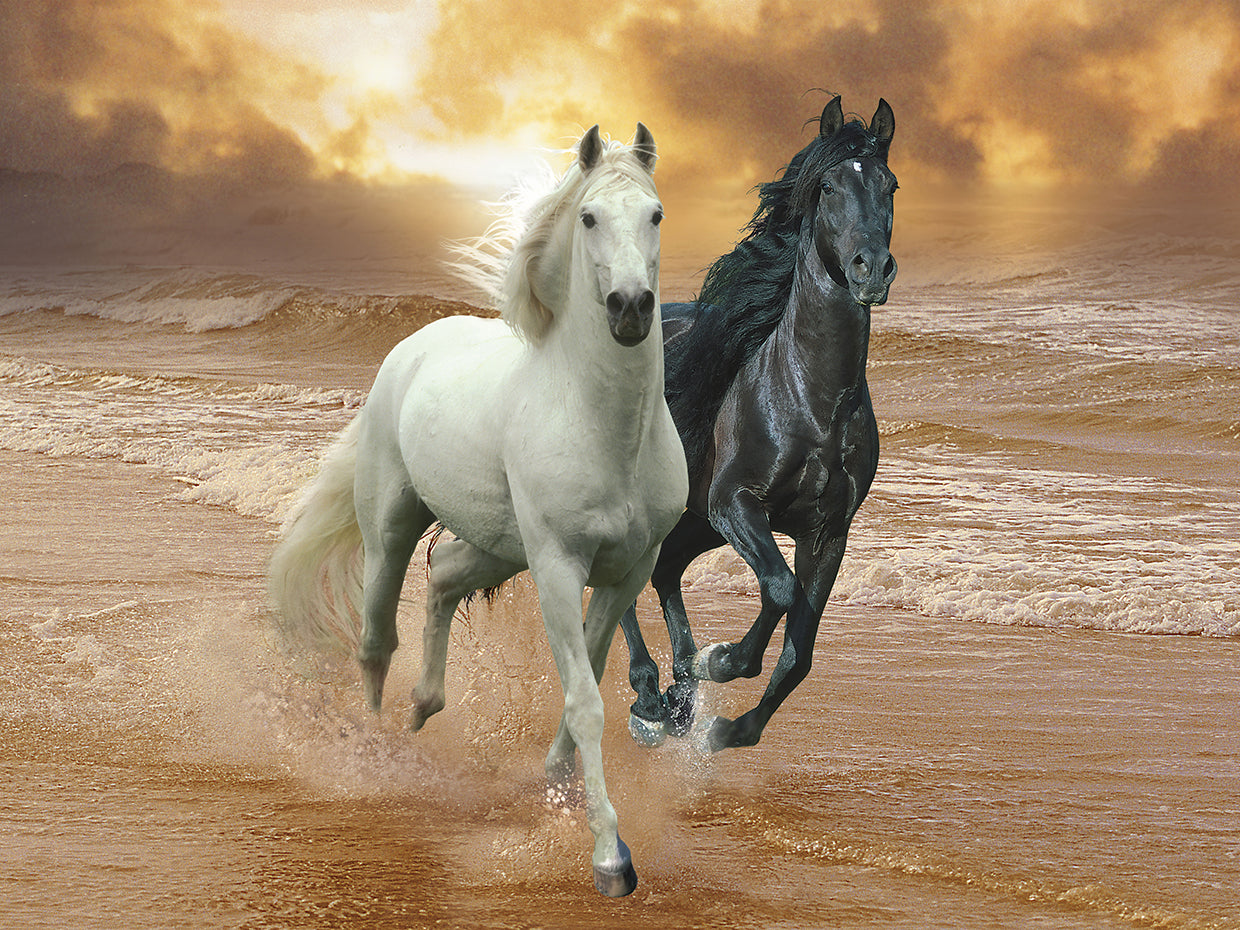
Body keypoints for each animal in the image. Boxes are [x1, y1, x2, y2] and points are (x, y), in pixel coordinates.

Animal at [267, 124, 687, 898]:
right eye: (589, 218)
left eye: (656, 214)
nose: (630, 308)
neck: (602, 427)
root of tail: (410, 348)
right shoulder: (557, 567)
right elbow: (586, 701)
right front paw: (610, 858)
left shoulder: (627, 573)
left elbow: (585, 684)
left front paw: (556, 789)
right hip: (392, 528)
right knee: (376, 640)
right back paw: (374, 754)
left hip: (497, 546)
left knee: (442, 582)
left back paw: (423, 708)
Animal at [619, 96, 897, 752]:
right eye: (828, 186)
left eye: (890, 185)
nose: (871, 269)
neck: (810, 400)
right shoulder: (735, 502)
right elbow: (779, 589)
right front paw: (719, 661)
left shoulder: (828, 531)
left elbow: (800, 651)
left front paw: (726, 725)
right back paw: (650, 693)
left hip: (694, 520)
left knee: (663, 571)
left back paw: (677, 697)